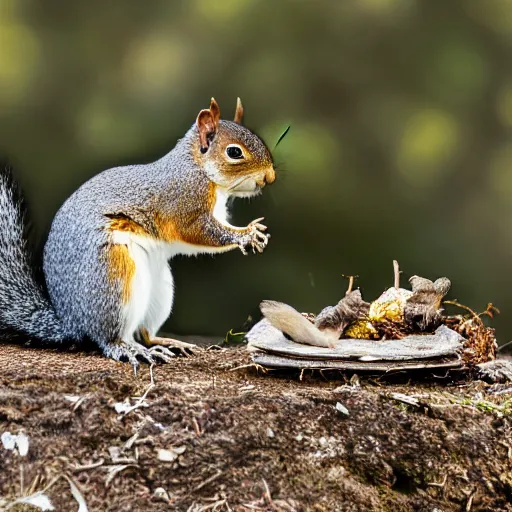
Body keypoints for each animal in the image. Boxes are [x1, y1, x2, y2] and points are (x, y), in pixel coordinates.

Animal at [0, 97, 276, 368]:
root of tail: (71, 322)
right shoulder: (183, 202)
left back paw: (166, 343)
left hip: (160, 288)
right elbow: (198, 231)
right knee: (108, 339)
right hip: (112, 278)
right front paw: (246, 234)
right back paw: (129, 349)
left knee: (144, 333)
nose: (270, 177)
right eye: (234, 152)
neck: (198, 169)